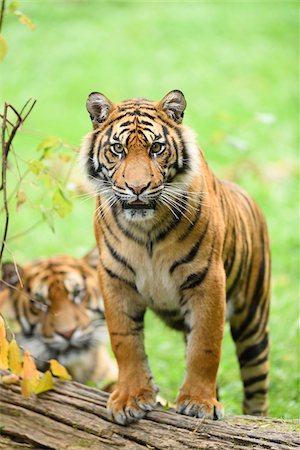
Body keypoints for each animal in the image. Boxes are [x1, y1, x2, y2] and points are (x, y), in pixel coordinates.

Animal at [80, 89, 272, 426]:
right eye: (117, 149)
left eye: (156, 148)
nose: (137, 188)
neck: (146, 230)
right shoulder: (115, 278)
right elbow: (125, 342)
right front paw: (130, 398)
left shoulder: (207, 279)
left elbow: (205, 347)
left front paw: (199, 403)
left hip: (253, 321)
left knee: (257, 386)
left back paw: (256, 421)